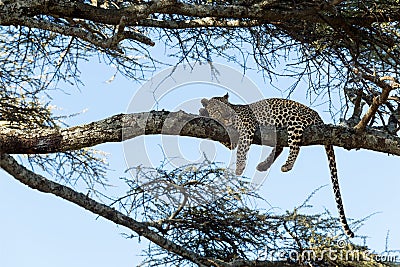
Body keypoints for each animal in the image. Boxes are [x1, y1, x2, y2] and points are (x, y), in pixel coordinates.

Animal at [199, 93, 354, 239]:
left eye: (228, 108)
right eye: (218, 109)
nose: (228, 117)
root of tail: (317, 116)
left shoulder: (247, 127)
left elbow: (241, 148)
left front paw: (240, 166)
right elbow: (231, 144)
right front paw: (203, 111)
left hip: (294, 122)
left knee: (294, 147)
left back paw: (287, 165)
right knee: (279, 147)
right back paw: (263, 165)